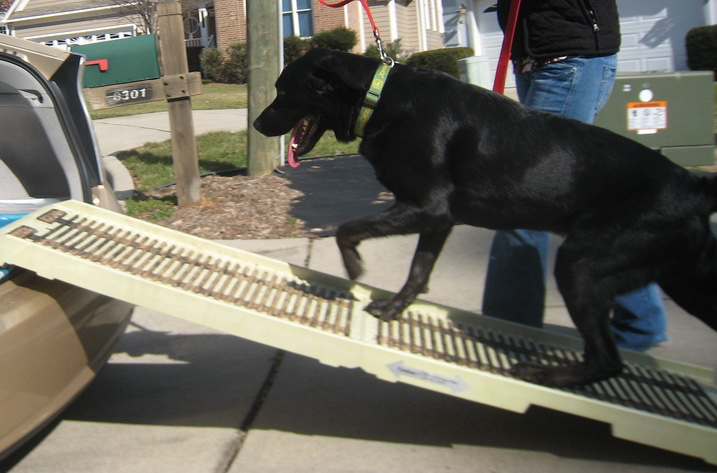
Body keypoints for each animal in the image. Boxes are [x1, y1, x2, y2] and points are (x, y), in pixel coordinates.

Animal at [253, 48, 716, 388]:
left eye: (282, 90)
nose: (255, 124)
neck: (378, 99)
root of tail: (692, 185)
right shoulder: (437, 218)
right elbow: (417, 272)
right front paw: (394, 309)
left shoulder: (427, 207)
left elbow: (348, 229)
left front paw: (353, 268)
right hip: (684, 279)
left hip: (580, 264)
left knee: (607, 359)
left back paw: (546, 373)